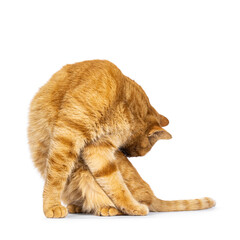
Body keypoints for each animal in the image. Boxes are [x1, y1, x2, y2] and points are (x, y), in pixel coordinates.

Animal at [28, 59, 216, 218]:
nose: (127, 154)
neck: (124, 104)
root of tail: (153, 196)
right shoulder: (69, 135)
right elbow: (56, 177)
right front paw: (51, 206)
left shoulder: (98, 148)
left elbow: (117, 186)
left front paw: (133, 207)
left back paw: (108, 208)